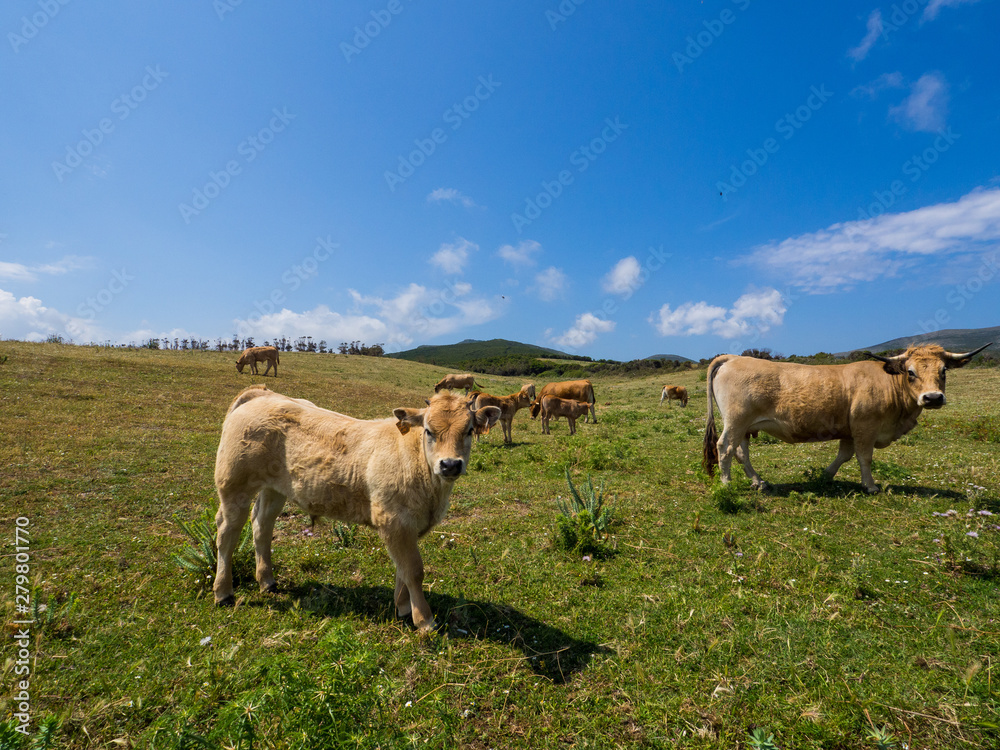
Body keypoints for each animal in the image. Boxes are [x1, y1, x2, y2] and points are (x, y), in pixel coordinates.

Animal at [212, 385, 500, 632]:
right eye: (429, 431)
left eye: (469, 430)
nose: (450, 464)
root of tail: (262, 394)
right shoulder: (394, 521)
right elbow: (414, 570)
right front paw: (424, 620)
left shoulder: (406, 526)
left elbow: (402, 569)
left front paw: (403, 607)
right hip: (234, 484)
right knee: (227, 534)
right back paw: (223, 593)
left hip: (274, 489)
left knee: (261, 526)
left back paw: (267, 581)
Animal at [702, 343, 991, 494]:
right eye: (910, 372)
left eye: (944, 371)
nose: (932, 398)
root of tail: (732, 357)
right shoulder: (866, 427)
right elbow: (864, 457)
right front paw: (870, 486)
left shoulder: (850, 430)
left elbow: (845, 455)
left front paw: (825, 475)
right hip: (736, 421)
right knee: (724, 448)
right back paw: (726, 484)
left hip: (746, 426)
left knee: (741, 452)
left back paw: (758, 481)